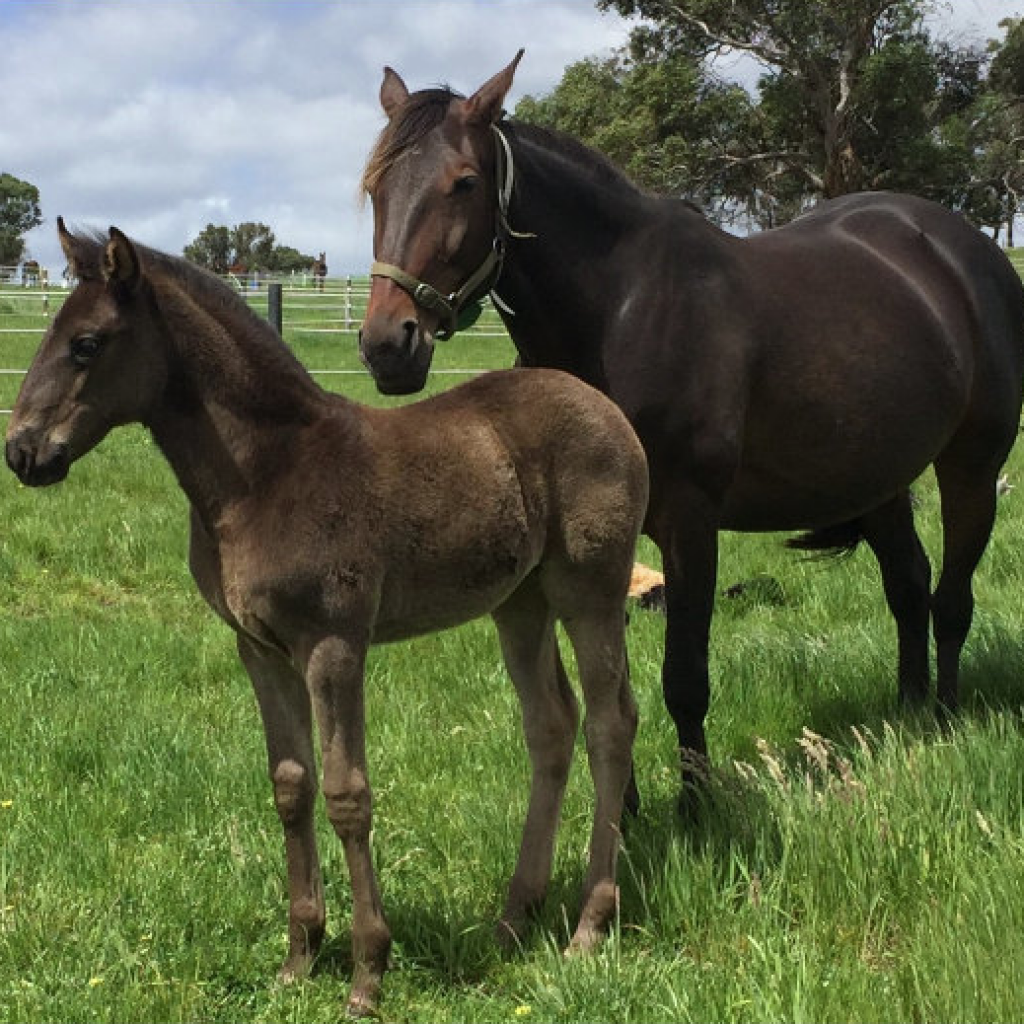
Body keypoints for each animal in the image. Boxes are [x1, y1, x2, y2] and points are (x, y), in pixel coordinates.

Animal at [5, 219, 649, 1017]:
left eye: (87, 343)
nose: (21, 451)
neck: (264, 475)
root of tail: (606, 407)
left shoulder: (333, 645)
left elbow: (347, 794)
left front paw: (368, 973)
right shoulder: (259, 649)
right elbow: (291, 784)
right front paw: (300, 955)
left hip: (590, 589)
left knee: (610, 723)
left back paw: (590, 923)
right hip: (518, 603)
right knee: (552, 726)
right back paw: (512, 918)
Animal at [358, 53, 1024, 808]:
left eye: (464, 182)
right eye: (377, 187)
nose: (388, 345)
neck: (620, 308)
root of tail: (961, 248)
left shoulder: (690, 523)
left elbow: (683, 676)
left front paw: (698, 806)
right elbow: (605, 680)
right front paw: (623, 811)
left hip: (972, 467)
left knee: (951, 599)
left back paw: (943, 717)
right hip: (876, 477)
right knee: (909, 586)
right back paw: (908, 716)